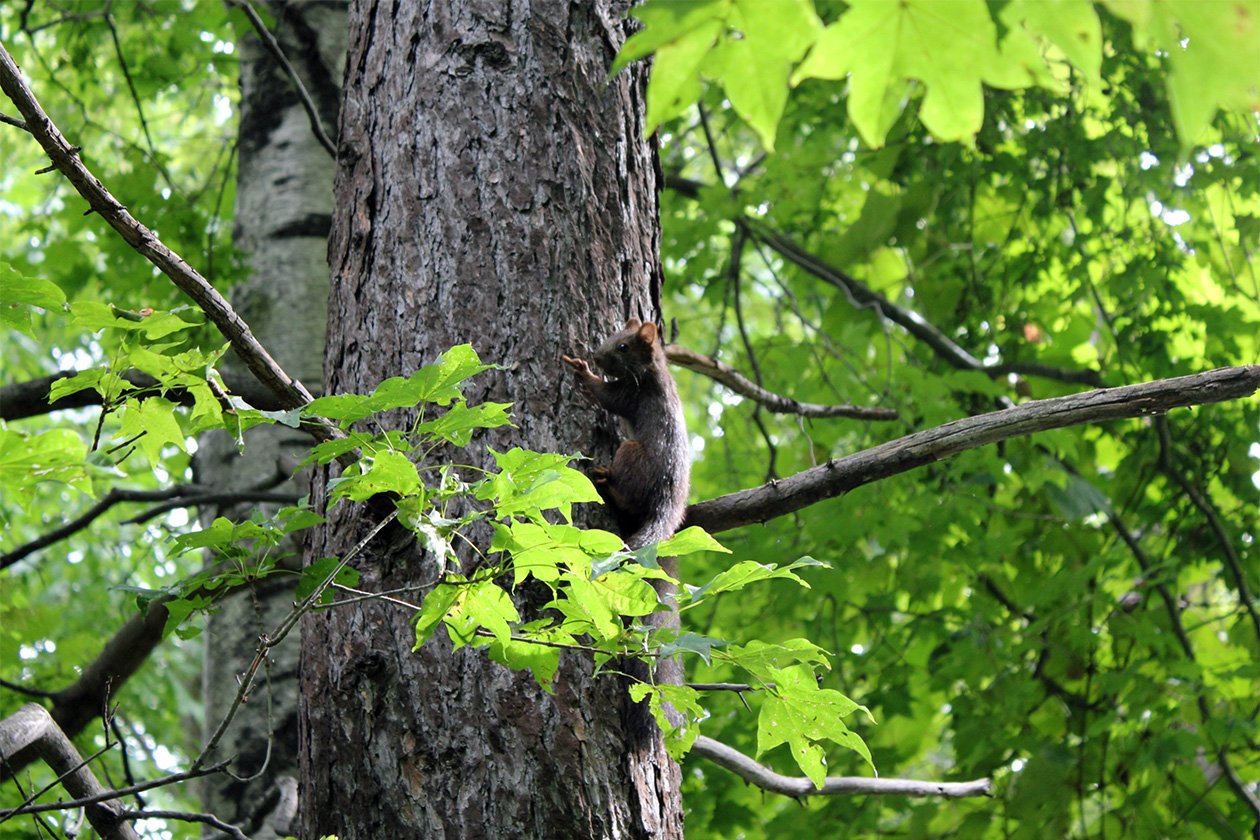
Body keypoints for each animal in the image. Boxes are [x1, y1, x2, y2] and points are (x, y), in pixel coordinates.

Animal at [567, 318, 695, 549]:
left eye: (623, 347)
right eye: (612, 336)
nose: (596, 357)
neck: (650, 369)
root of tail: (667, 501)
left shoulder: (632, 394)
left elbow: (606, 396)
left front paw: (583, 371)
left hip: (630, 453)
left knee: (629, 500)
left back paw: (608, 483)